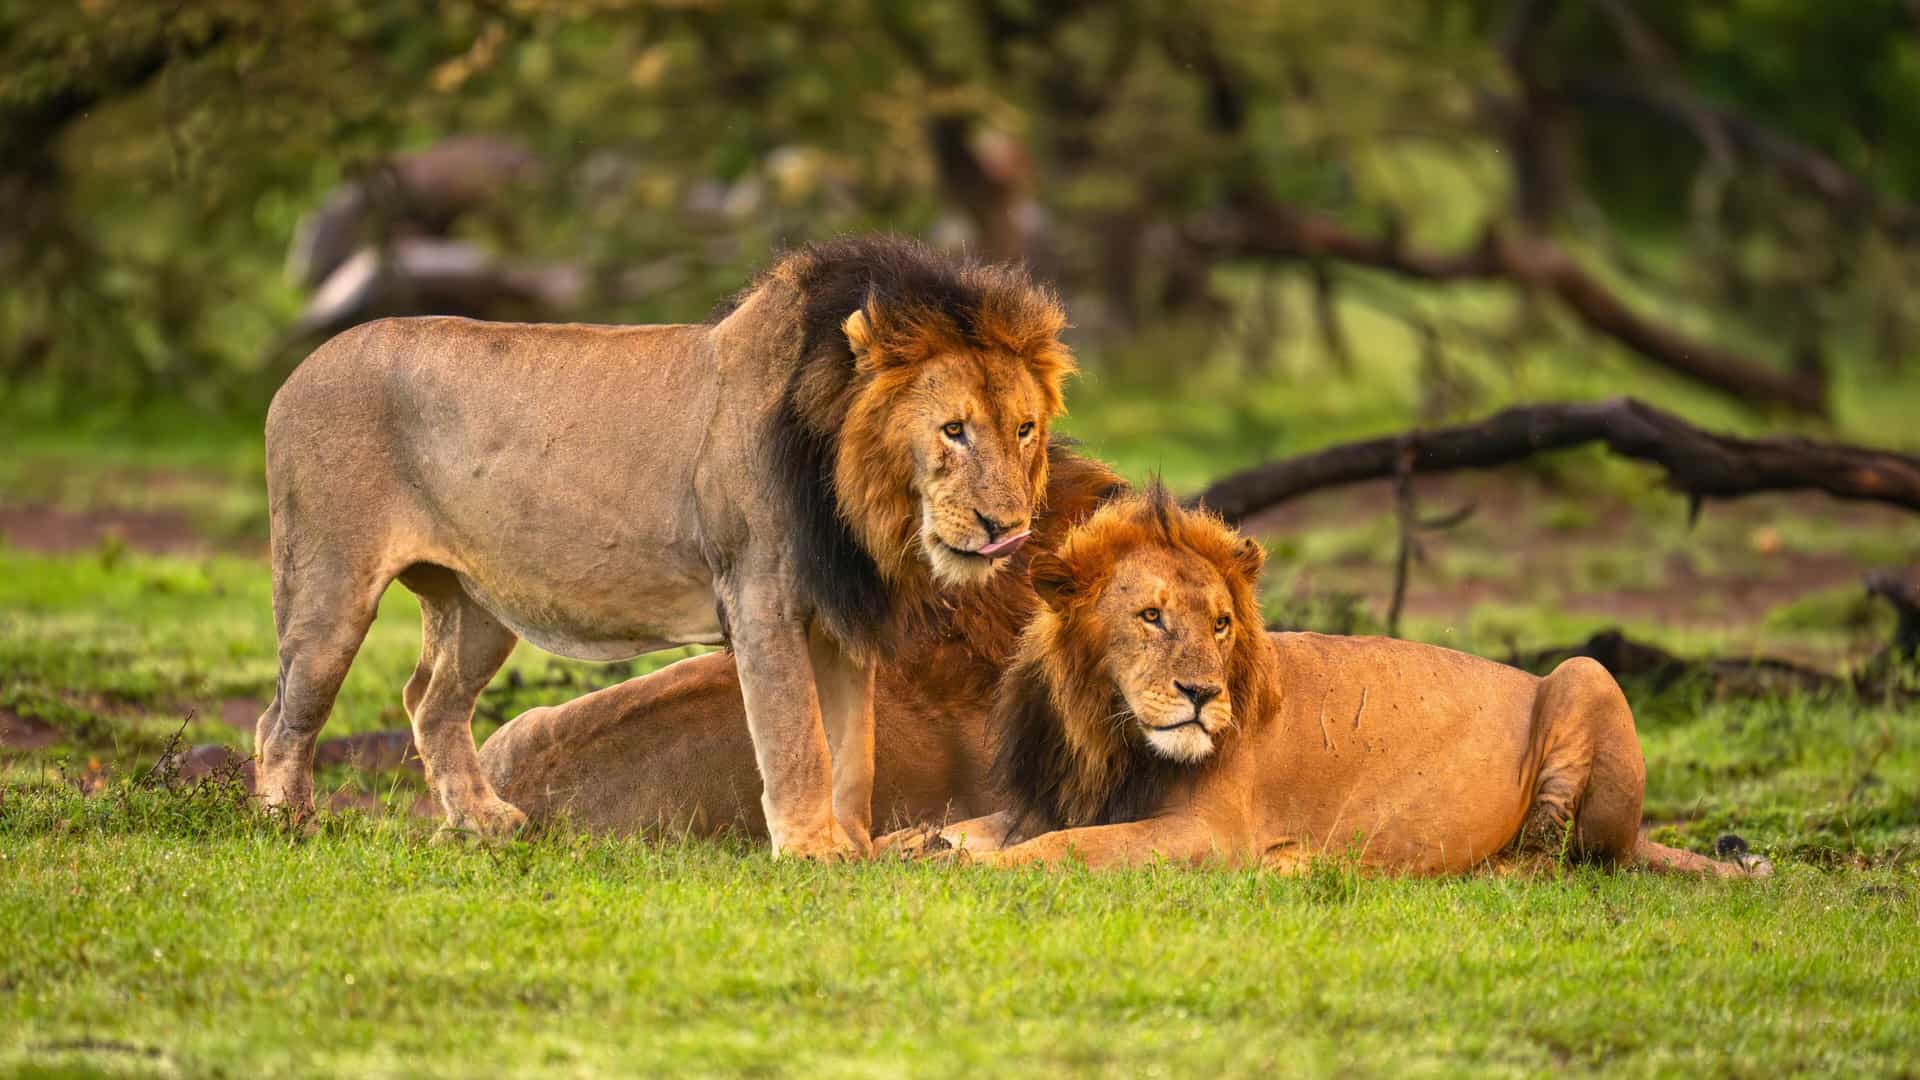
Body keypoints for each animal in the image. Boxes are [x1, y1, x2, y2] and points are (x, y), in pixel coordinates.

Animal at [886, 487, 1769, 878]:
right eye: (1151, 617)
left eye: (1221, 625)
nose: (1203, 696)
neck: (1104, 733)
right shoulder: (1048, 798)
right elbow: (963, 826)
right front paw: (894, 849)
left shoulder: (1208, 833)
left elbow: (1065, 849)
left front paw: (961, 869)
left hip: (1588, 675)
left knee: (1554, 860)